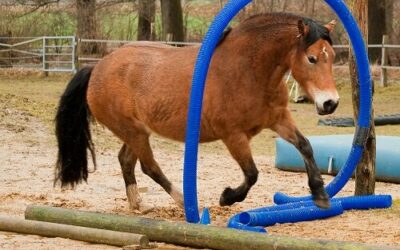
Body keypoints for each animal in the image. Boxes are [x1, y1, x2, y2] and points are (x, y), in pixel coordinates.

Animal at [54, 12, 340, 211]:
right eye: (311, 58)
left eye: (333, 56)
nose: (330, 103)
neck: (249, 71)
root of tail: (97, 68)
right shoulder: (234, 136)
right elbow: (251, 174)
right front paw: (227, 197)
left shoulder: (279, 119)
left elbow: (305, 146)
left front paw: (320, 195)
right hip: (133, 132)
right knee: (149, 166)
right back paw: (183, 201)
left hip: (136, 132)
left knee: (126, 160)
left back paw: (138, 204)